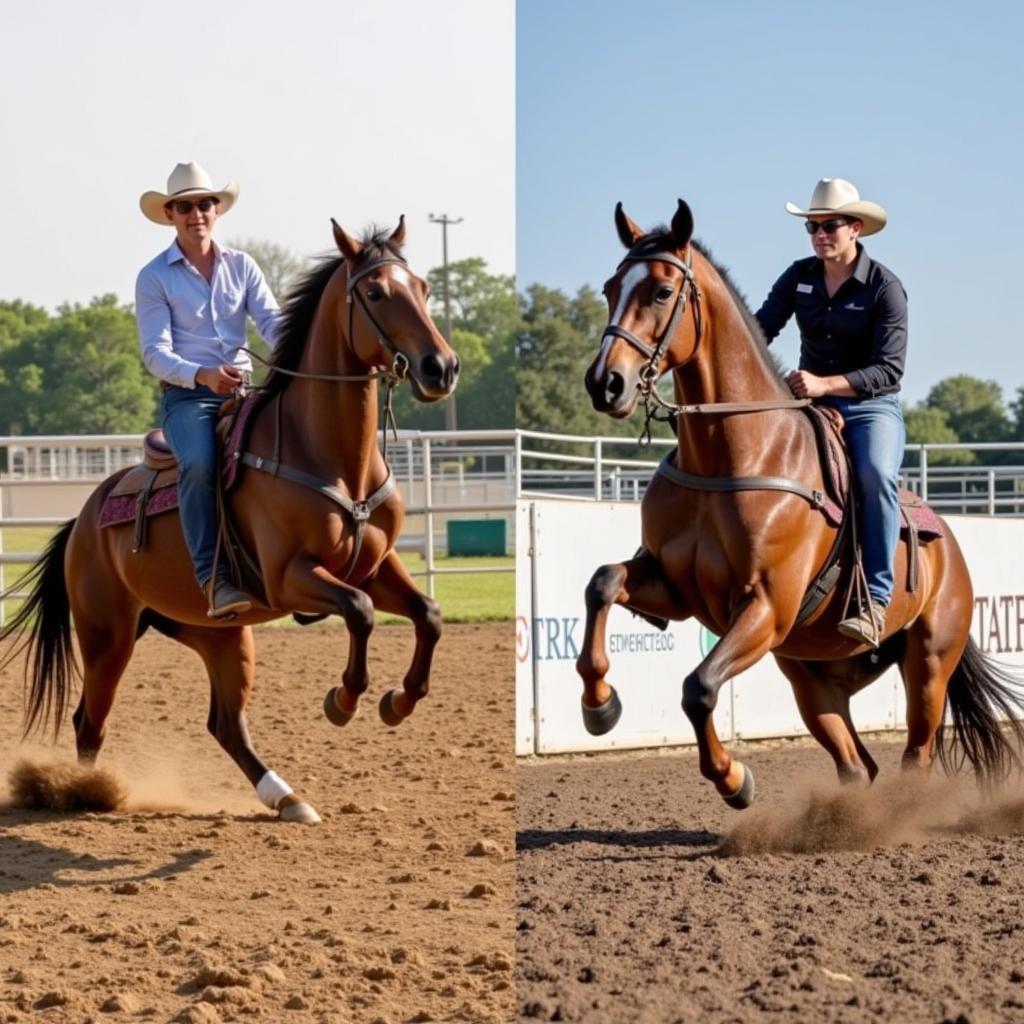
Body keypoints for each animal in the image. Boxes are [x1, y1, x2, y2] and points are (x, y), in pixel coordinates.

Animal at [0, 216, 458, 823]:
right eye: (376, 292)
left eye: (425, 288)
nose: (441, 367)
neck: (333, 458)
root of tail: (84, 520)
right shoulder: (293, 577)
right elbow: (359, 613)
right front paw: (342, 700)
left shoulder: (375, 567)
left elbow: (427, 614)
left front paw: (398, 701)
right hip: (107, 637)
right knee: (88, 721)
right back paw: (83, 791)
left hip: (220, 635)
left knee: (225, 724)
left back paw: (287, 798)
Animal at [581, 199, 1019, 806]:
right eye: (609, 288)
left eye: (663, 292)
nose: (606, 383)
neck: (735, 454)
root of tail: (950, 547)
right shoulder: (675, 588)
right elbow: (602, 582)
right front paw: (600, 706)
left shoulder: (765, 606)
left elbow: (699, 687)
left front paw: (734, 779)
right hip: (811, 677)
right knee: (858, 766)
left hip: (928, 664)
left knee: (916, 756)